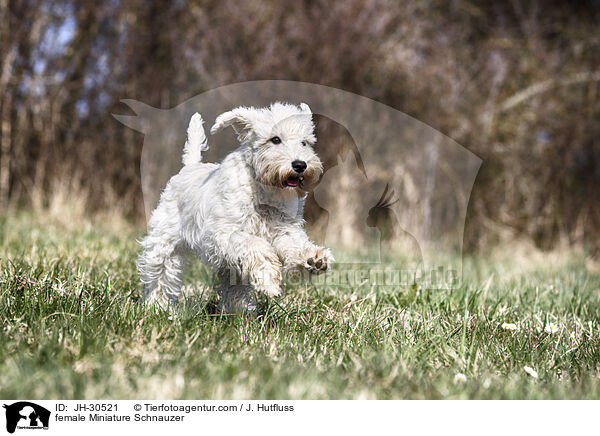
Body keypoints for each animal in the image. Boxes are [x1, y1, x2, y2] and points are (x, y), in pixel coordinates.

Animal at [137, 102, 332, 314]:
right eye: (275, 139)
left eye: (304, 142)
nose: (300, 165)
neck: (264, 191)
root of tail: (189, 167)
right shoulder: (224, 233)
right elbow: (256, 245)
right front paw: (270, 281)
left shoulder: (284, 229)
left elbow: (295, 244)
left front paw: (314, 259)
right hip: (165, 244)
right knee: (161, 276)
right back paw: (158, 308)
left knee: (235, 287)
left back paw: (241, 313)